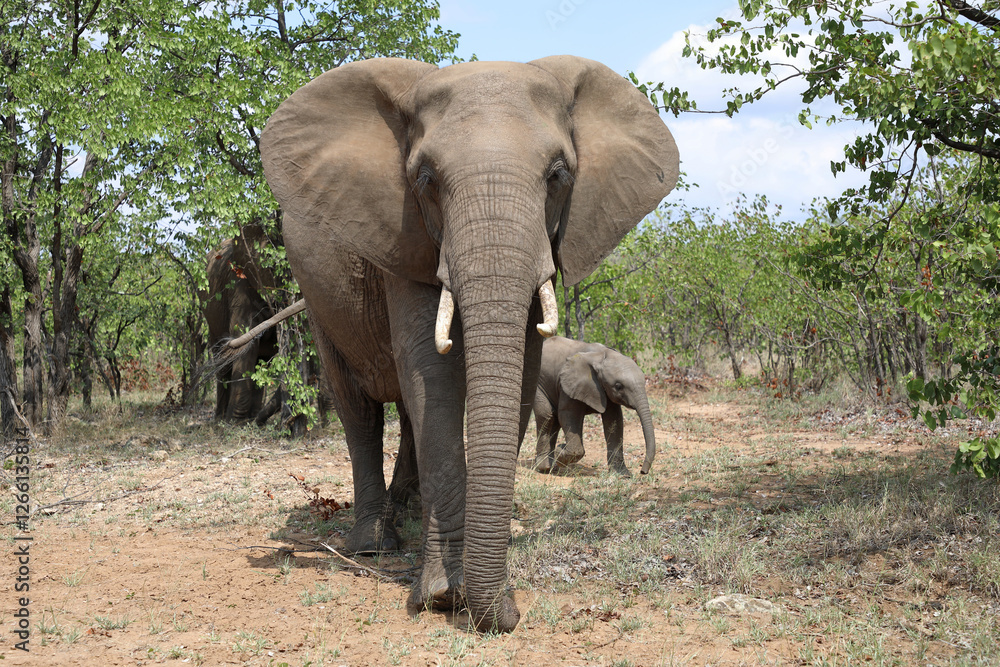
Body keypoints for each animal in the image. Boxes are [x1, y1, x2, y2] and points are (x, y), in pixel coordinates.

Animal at [529, 336, 656, 477]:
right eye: (618, 386)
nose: (643, 471)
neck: (601, 356)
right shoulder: (568, 384)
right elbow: (568, 415)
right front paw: (560, 451)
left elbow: (614, 420)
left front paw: (622, 475)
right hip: (538, 382)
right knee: (547, 415)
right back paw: (545, 467)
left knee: (554, 419)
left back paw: (551, 466)